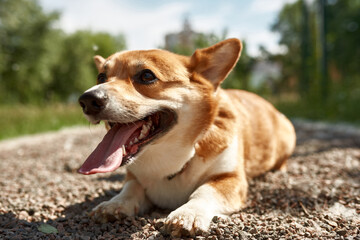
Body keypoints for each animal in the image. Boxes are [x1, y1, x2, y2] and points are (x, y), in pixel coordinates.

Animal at [77, 38, 294, 237]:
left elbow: (205, 190)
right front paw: (114, 204)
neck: (167, 155)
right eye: (101, 77)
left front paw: (188, 214)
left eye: (147, 75)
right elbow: (130, 188)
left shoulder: (230, 177)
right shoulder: (134, 176)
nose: (87, 100)